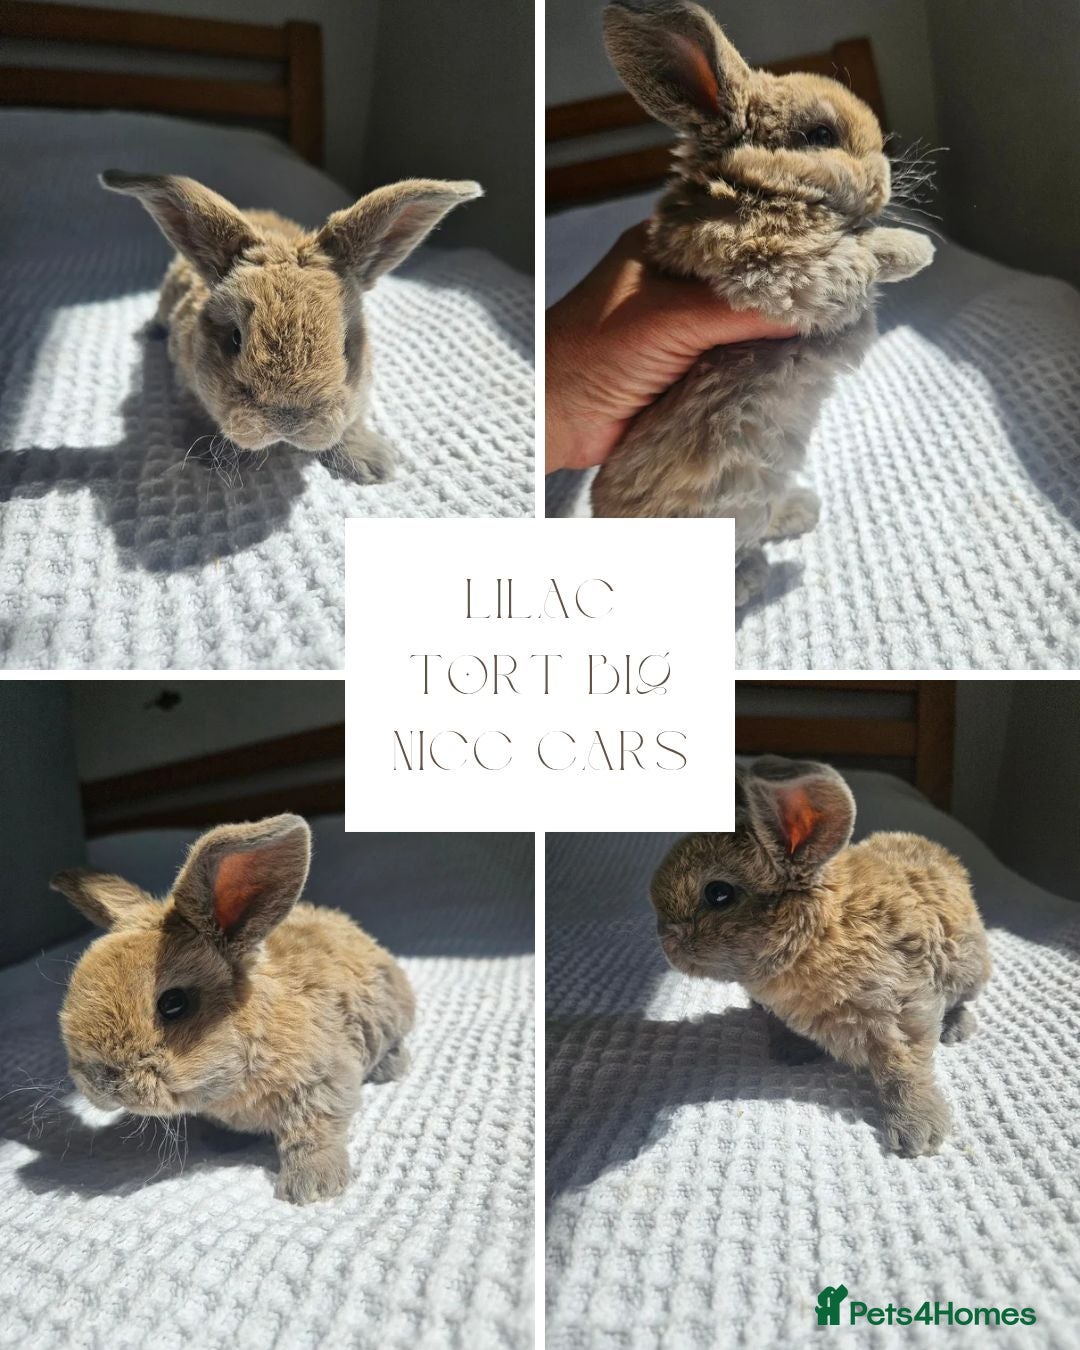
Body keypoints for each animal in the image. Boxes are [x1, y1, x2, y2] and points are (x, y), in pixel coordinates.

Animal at [51, 813, 415, 1204]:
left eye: (173, 1004)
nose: (99, 1081)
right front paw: (219, 1143)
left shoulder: (323, 1081)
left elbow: (314, 1132)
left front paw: (312, 1187)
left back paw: (392, 1068)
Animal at [100, 169, 482, 483]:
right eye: (235, 339)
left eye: (345, 345)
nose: (287, 420)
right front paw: (212, 456)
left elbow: (352, 418)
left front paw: (372, 463)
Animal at [595, 1, 935, 606]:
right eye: (820, 134)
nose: (885, 180)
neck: (758, 185)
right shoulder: (780, 269)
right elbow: (860, 254)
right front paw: (918, 250)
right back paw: (754, 578)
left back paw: (800, 512)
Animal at [650, 756, 992, 1156]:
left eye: (719, 893)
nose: (664, 940)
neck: (815, 938)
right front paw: (790, 1052)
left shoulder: (902, 1009)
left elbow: (903, 1068)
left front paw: (917, 1132)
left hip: (968, 970)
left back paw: (955, 1029)